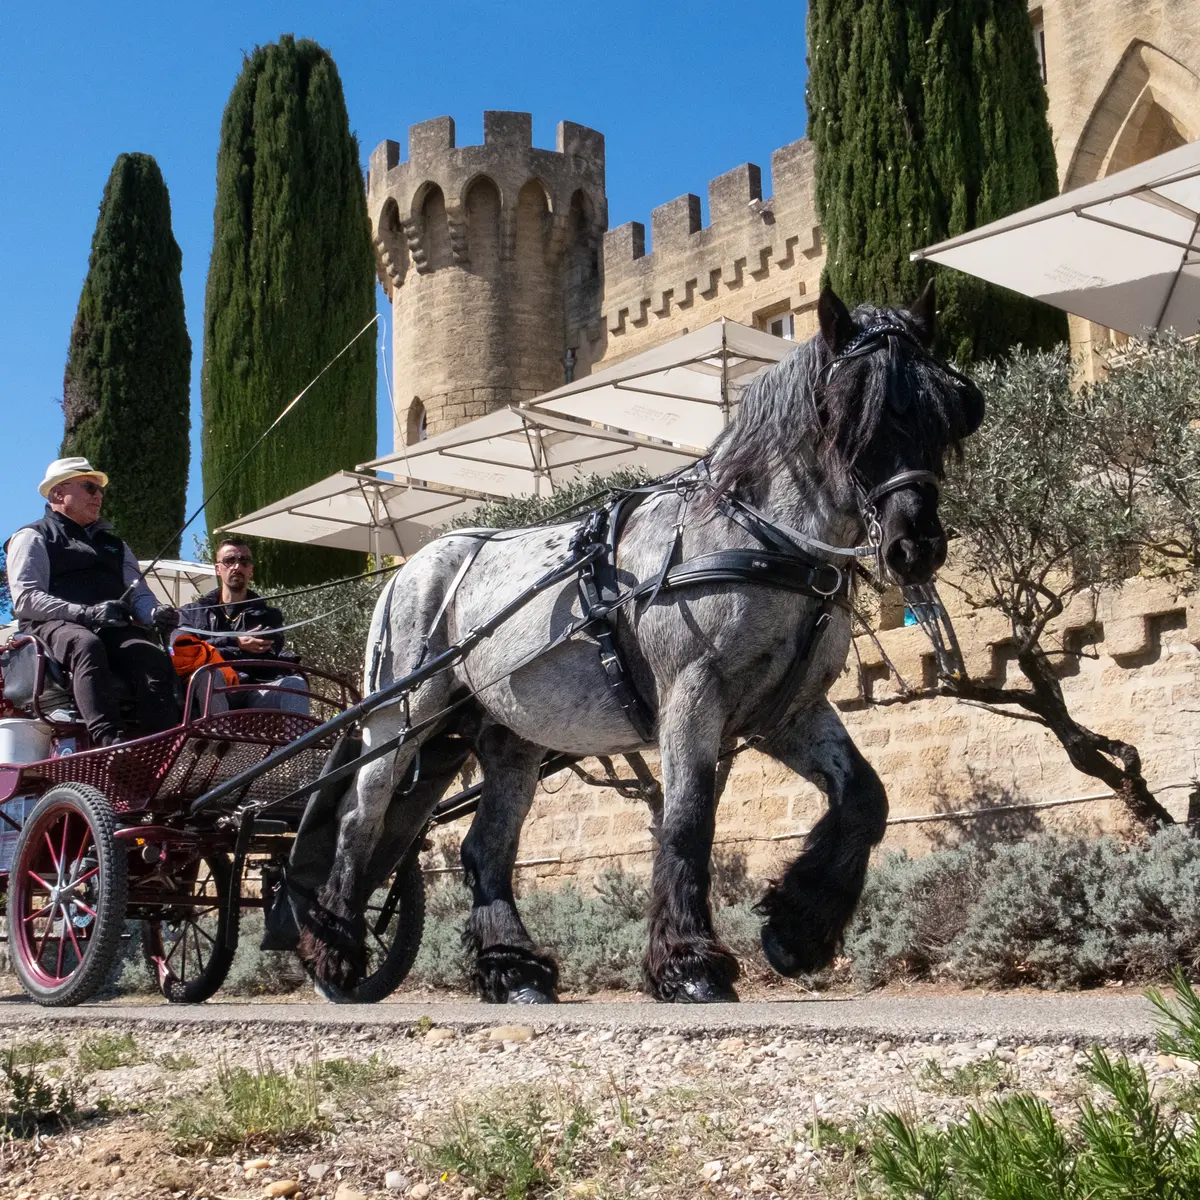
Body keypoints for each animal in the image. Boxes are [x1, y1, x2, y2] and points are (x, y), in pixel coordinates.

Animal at [297, 282, 985, 1004]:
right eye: (850, 409)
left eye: (949, 410)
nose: (915, 545)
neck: (759, 537)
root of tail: (413, 566)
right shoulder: (692, 695)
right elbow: (686, 821)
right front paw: (691, 965)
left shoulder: (788, 712)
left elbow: (864, 799)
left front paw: (797, 929)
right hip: (400, 718)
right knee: (363, 819)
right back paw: (335, 955)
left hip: (506, 737)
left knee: (484, 849)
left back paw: (515, 971)